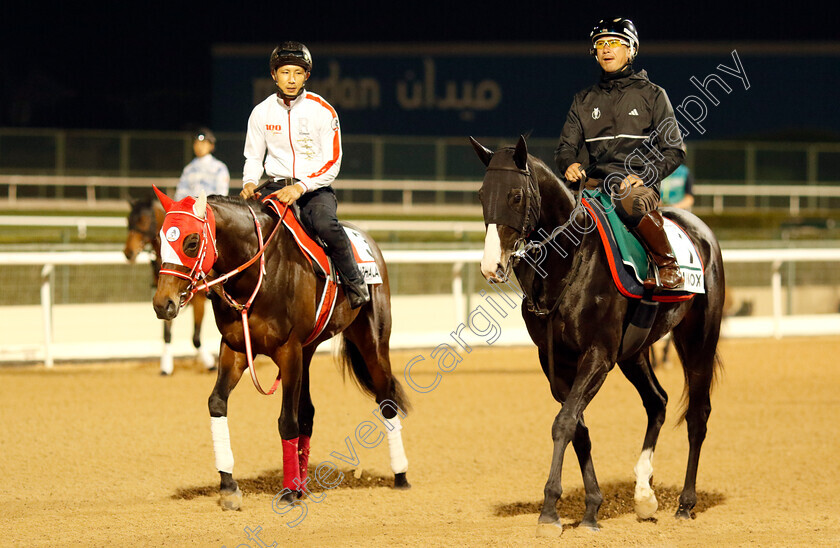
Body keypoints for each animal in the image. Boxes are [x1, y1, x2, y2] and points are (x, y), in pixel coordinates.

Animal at [124, 197, 218, 372]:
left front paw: (209, 362)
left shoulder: (199, 301)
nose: (128, 253)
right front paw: (166, 365)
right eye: (128, 220)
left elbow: (196, 337)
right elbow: (167, 334)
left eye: (143, 220)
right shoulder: (165, 300)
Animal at [152, 189, 414, 510]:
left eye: (191, 242)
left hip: (372, 341)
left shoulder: (289, 352)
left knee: (387, 400)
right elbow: (217, 403)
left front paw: (288, 492)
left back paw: (400, 475)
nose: (162, 303)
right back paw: (302, 483)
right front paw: (228, 486)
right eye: (161, 239)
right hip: (309, 351)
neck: (259, 274)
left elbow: (287, 421)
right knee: (308, 414)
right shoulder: (236, 349)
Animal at [470, 135, 724, 536]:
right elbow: (577, 426)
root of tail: (701, 232)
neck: (570, 260)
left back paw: (685, 503)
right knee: (658, 401)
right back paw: (644, 494)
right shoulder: (555, 362)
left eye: (515, 196)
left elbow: (564, 423)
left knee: (697, 415)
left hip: (699, 337)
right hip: (634, 352)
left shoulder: (598, 355)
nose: (491, 266)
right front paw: (591, 508)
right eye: (482, 194)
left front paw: (549, 511)